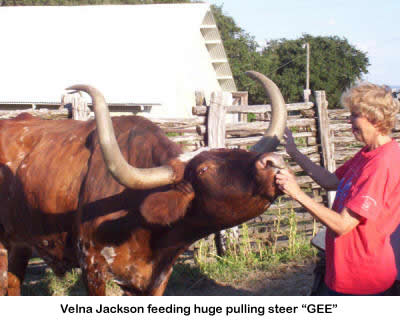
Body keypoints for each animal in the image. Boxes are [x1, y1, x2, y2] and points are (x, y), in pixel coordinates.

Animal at [0, 72, 288, 296]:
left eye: (236, 151)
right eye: (204, 169)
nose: (274, 161)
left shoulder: (155, 278)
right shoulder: (92, 268)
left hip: (20, 245)